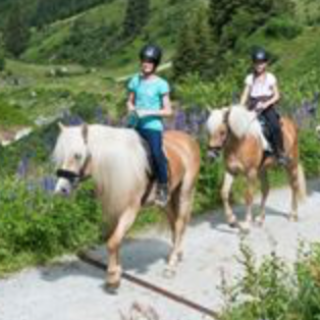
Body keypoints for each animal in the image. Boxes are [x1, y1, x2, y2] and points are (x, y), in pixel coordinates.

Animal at [52, 124, 200, 288]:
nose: (61, 189)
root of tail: (187, 139)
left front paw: (112, 276)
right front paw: (116, 271)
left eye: (77, 155)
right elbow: (114, 240)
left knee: (179, 224)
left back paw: (171, 265)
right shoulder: (112, 211)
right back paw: (177, 253)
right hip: (166, 201)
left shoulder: (130, 210)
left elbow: (112, 242)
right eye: (60, 156)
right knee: (174, 223)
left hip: (186, 192)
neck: (116, 167)